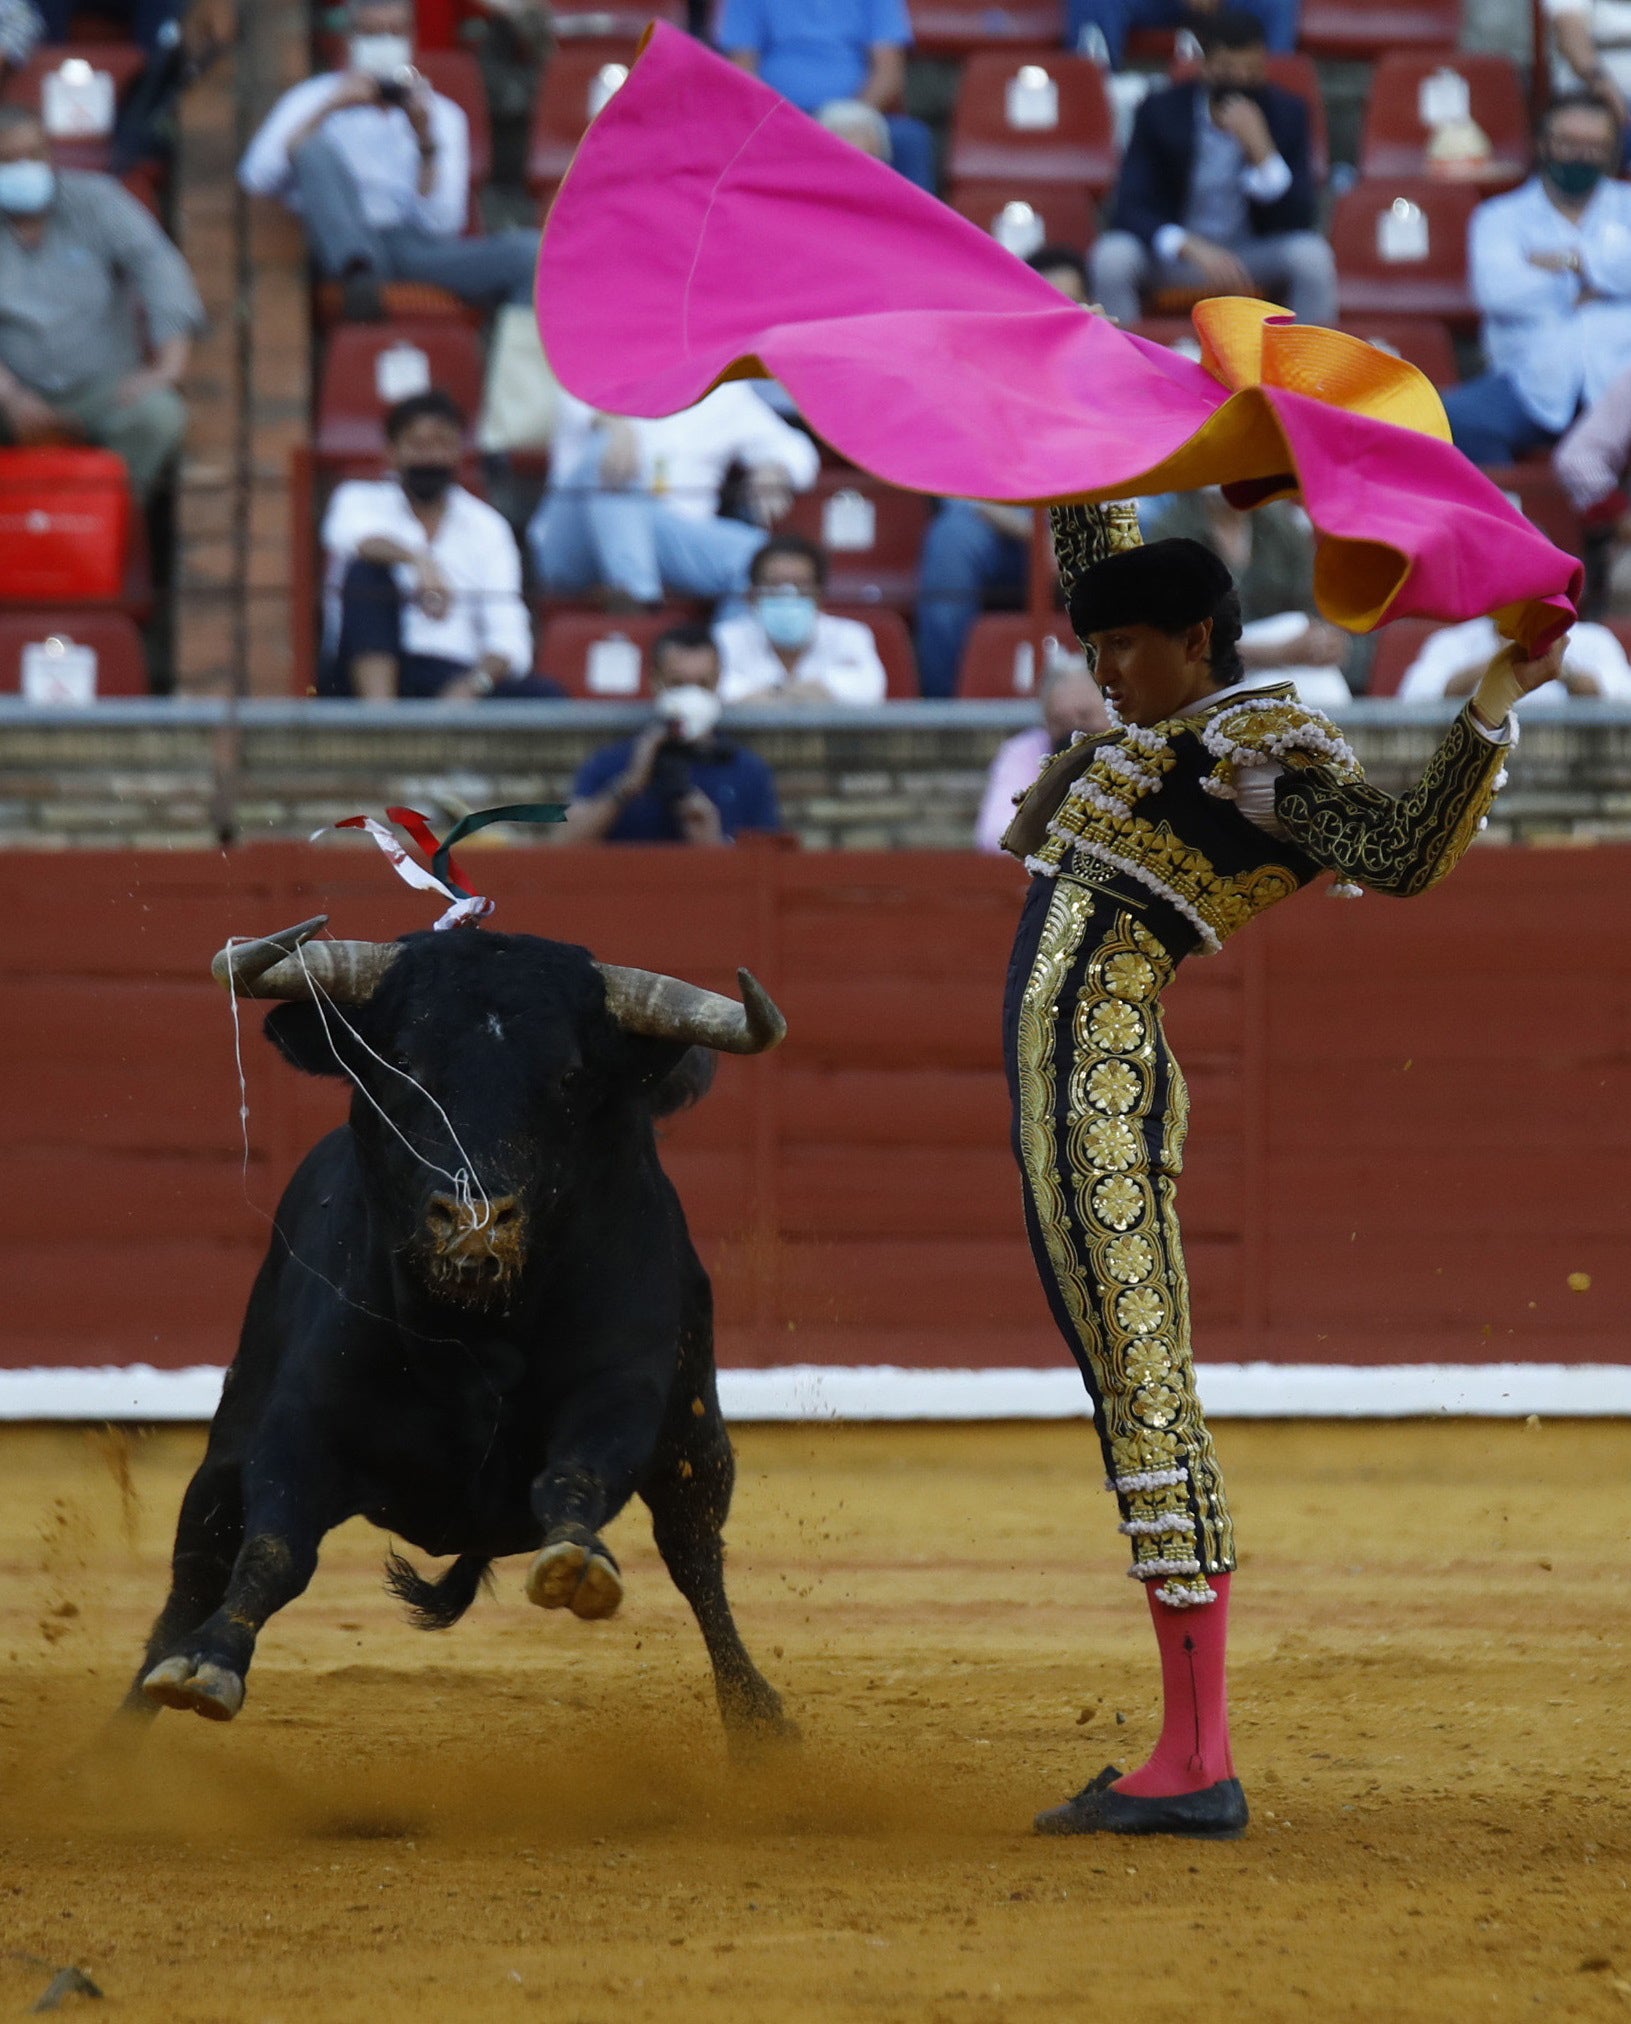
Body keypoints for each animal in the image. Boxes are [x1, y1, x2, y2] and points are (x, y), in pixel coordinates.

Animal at [119, 926, 793, 1748]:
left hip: (697, 1441)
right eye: (402, 1062)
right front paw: (208, 1662)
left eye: (569, 1075)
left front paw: (576, 1562)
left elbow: (576, 1478)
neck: (474, 1330)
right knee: (196, 1570)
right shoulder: (301, 1422)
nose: (475, 1220)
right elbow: (273, 1549)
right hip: (225, 1450)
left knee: (695, 1554)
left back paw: (758, 1724)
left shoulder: (620, 1392)